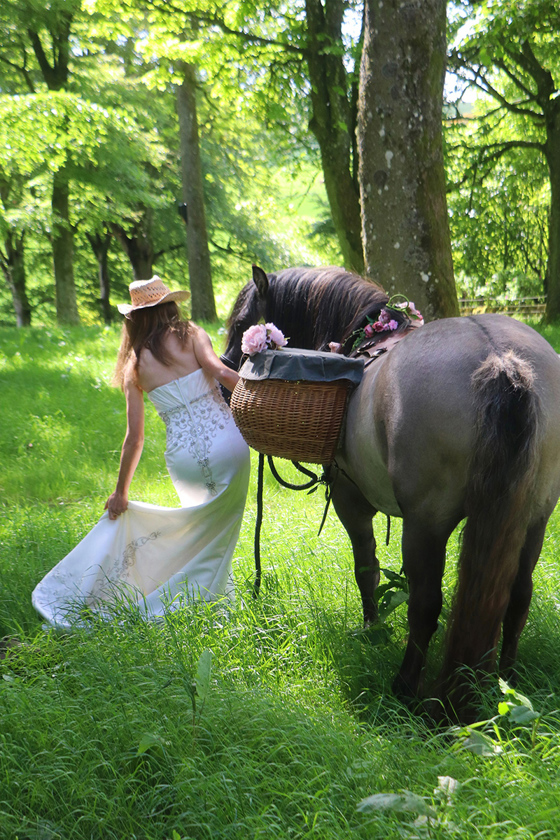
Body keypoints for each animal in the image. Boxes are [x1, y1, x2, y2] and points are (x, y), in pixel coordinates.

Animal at [224, 266, 560, 720]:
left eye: (243, 324)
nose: (224, 379)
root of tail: (500, 358)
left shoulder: (351, 501)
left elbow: (365, 568)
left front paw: (371, 629)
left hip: (425, 525)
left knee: (425, 605)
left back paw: (405, 686)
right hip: (534, 516)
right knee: (518, 594)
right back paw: (506, 678)